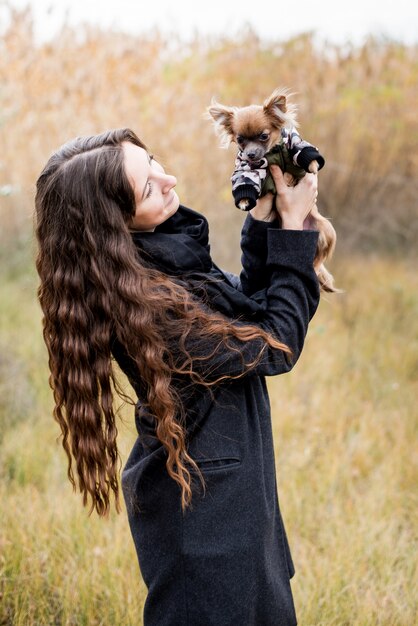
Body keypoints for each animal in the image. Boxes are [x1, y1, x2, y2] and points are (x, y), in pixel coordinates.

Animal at [207, 88, 338, 292]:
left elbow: (302, 149)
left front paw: (313, 164)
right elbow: (244, 180)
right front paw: (244, 200)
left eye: (264, 136)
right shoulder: (246, 168)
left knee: (318, 260)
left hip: (327, 231)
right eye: (240, 140)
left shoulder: (292, 142)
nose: (251, 154)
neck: (271, 154)